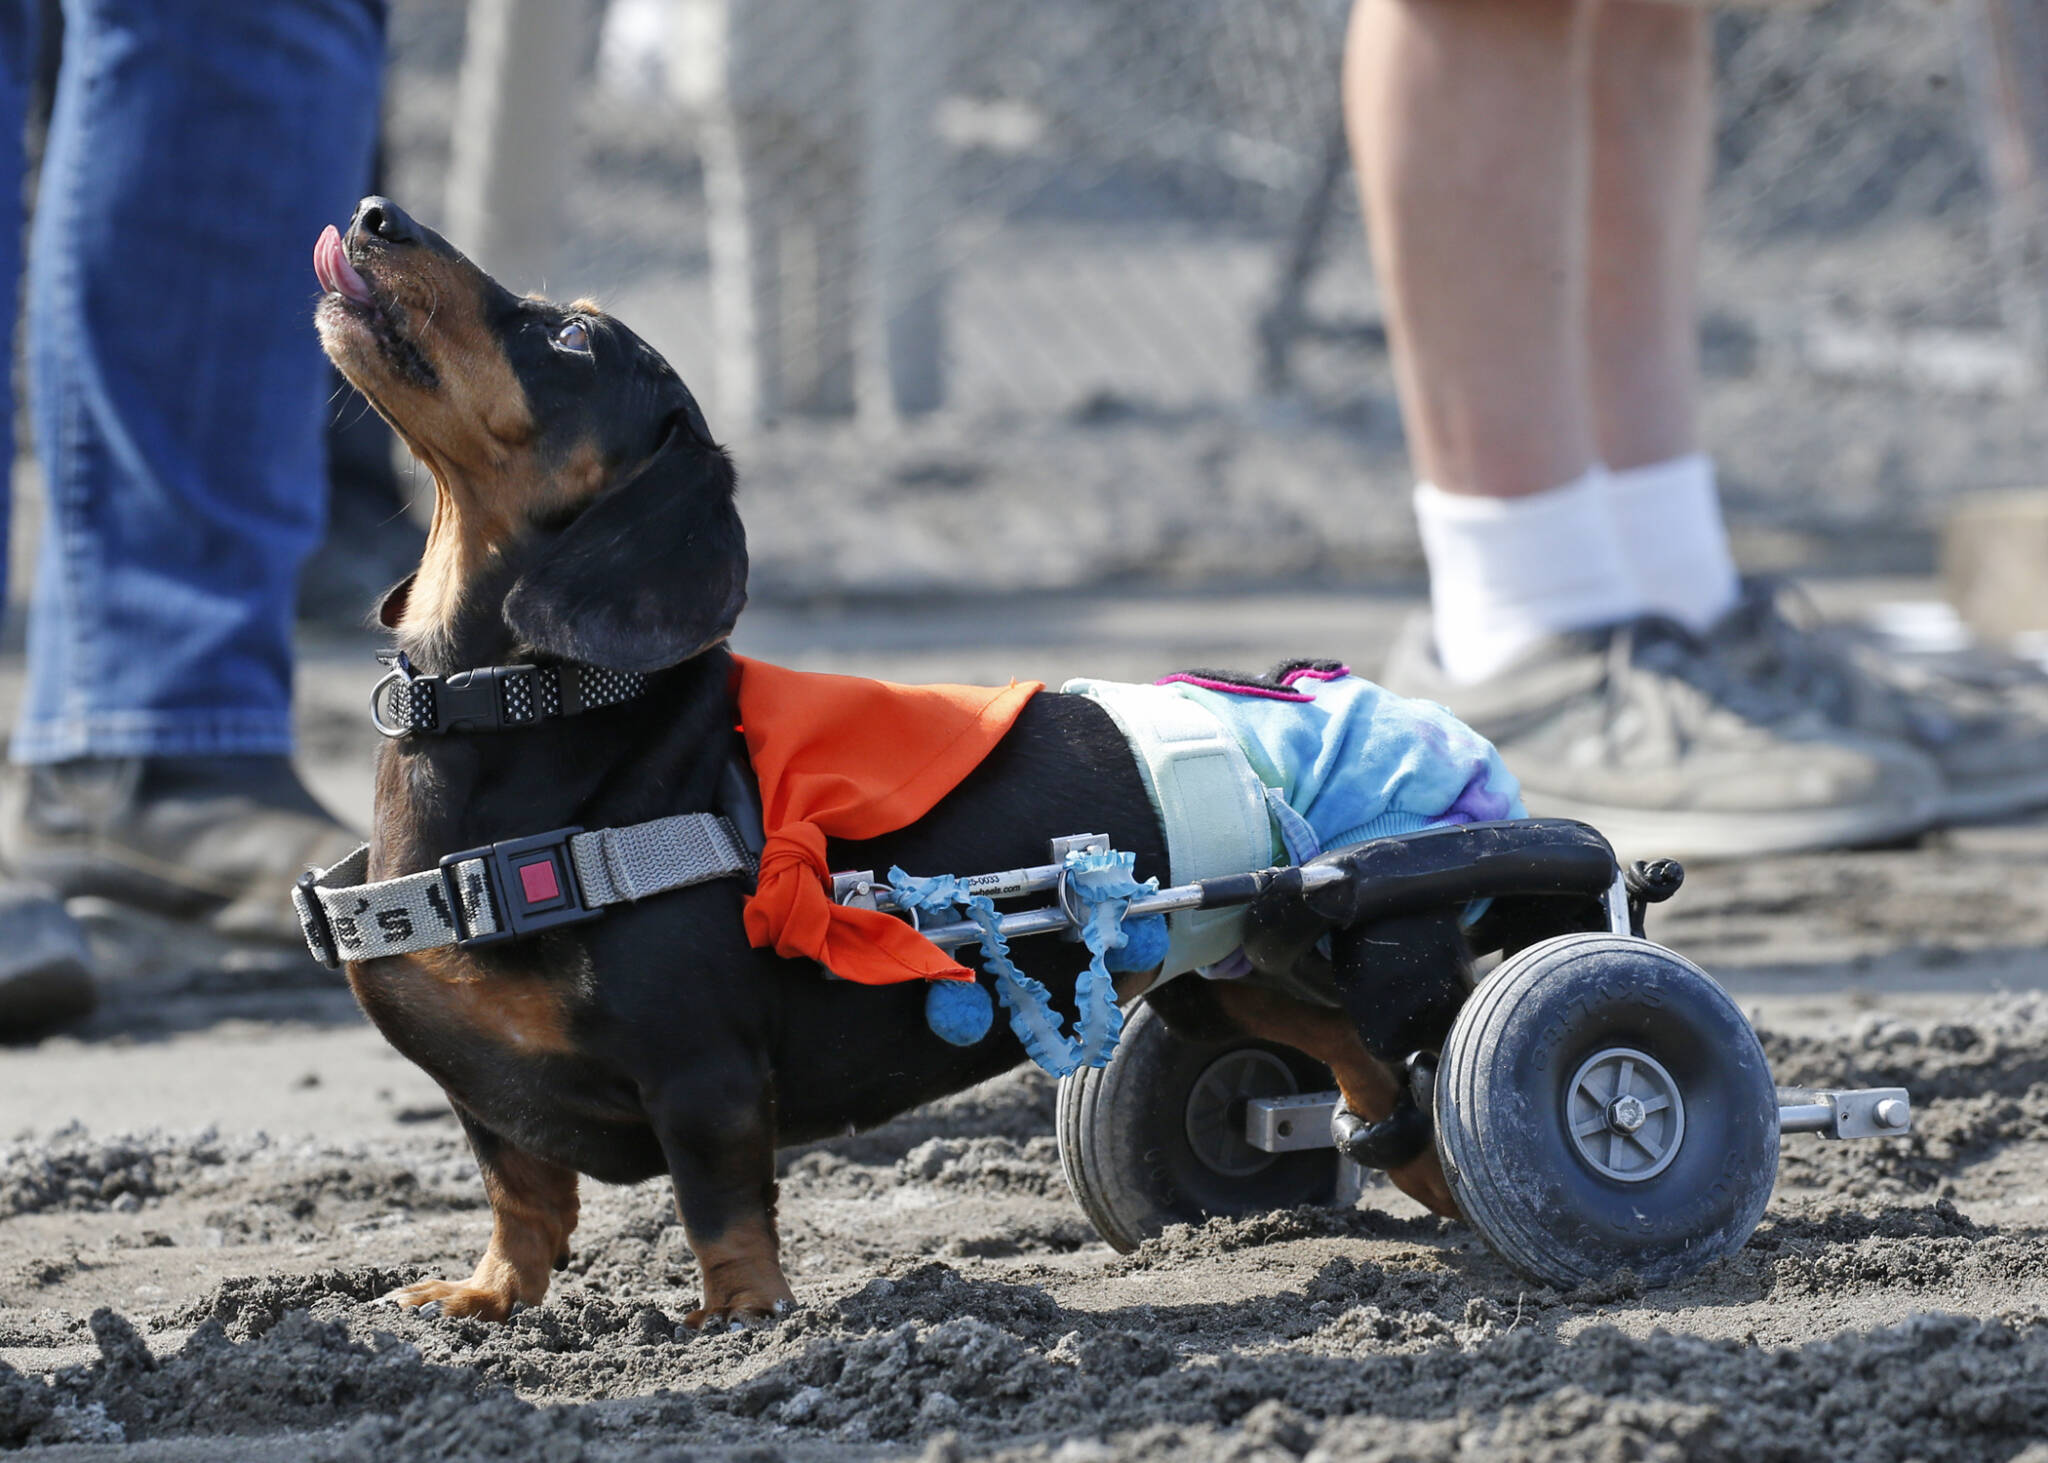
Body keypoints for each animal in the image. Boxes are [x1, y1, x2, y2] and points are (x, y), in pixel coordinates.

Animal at [311, 190, 1458, 1319]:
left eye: (572, 337)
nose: (372, 211)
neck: (513, 709)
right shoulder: (487, 1102)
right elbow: (521, 1196)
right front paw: (485, 1294)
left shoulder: (703, 1072)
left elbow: (717, 1205)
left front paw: (741, 1317)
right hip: (1227, 967)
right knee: (1353, 1059)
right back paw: (1420, 1169)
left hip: (1352, 941)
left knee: (1416, 1045)